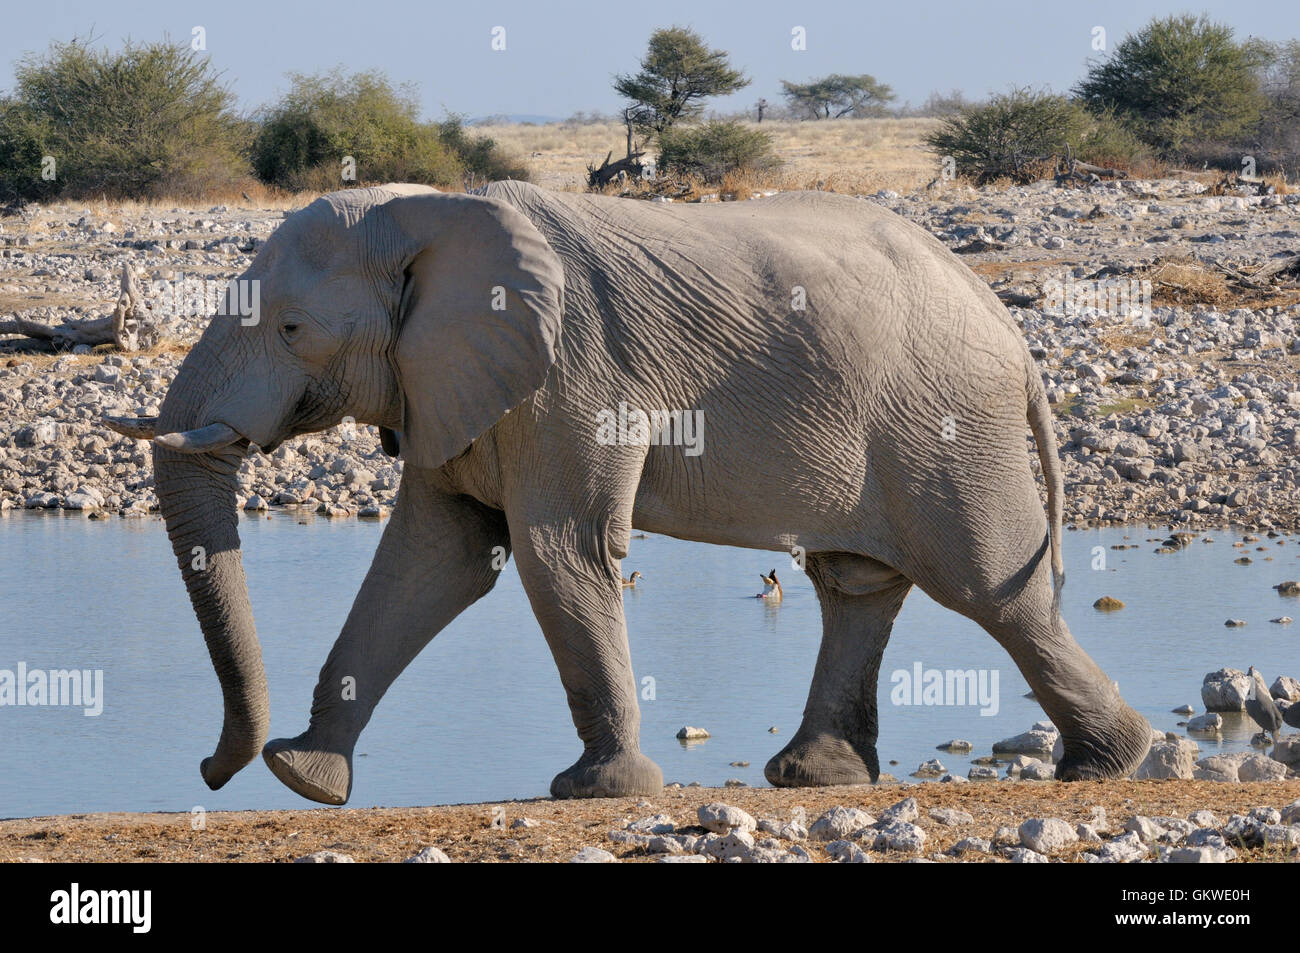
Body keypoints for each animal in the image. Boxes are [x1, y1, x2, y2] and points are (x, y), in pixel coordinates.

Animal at [106, 180, 1154, 800]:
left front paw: (598, 790)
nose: (209, 768)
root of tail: (1008, 324)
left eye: (291, 329)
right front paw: (309, 779)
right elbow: (436, 560)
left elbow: (556, 552)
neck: (432, 214)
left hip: (945, 424)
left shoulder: (569, 378)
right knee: (857, 584)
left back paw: (1108, 762)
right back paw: (816, 776)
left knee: (992, 591)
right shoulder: (451, 376)